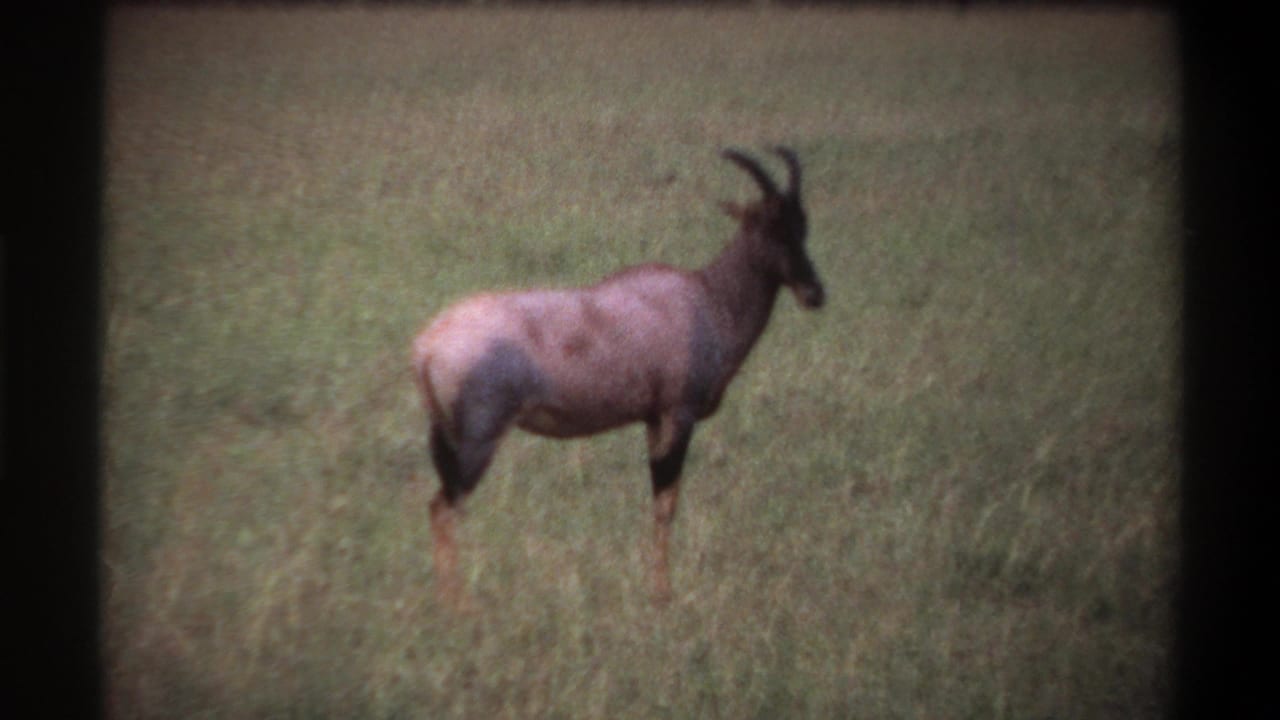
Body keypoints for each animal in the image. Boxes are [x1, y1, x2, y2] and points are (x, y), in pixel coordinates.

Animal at [412, 147, 824, 606]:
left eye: (801, 223)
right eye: (766, 224)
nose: (814, 293)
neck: (703, 298)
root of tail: (428, 344)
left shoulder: (653, 419)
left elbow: (659, 502)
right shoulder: (677, 415)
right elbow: (665, 504)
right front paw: (662, 595)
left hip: (446, 438)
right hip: (478, 440)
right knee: (444, 508)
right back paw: (458, 607)